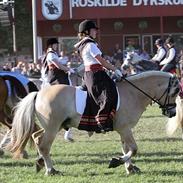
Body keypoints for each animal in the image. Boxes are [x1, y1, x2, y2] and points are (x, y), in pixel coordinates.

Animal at [4, 71, 180, 175]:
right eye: (175, 91)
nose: (172, 113)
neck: (133, 93)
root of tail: (39, 93)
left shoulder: (124, 129)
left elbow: (126, 148)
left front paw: (130, 167)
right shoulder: (125, 129)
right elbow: (133, 149)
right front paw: (116, 162)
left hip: (53, 126)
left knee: (36, 136)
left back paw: (41, 162)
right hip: (53, 127)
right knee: (44, 145)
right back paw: (51, 169)